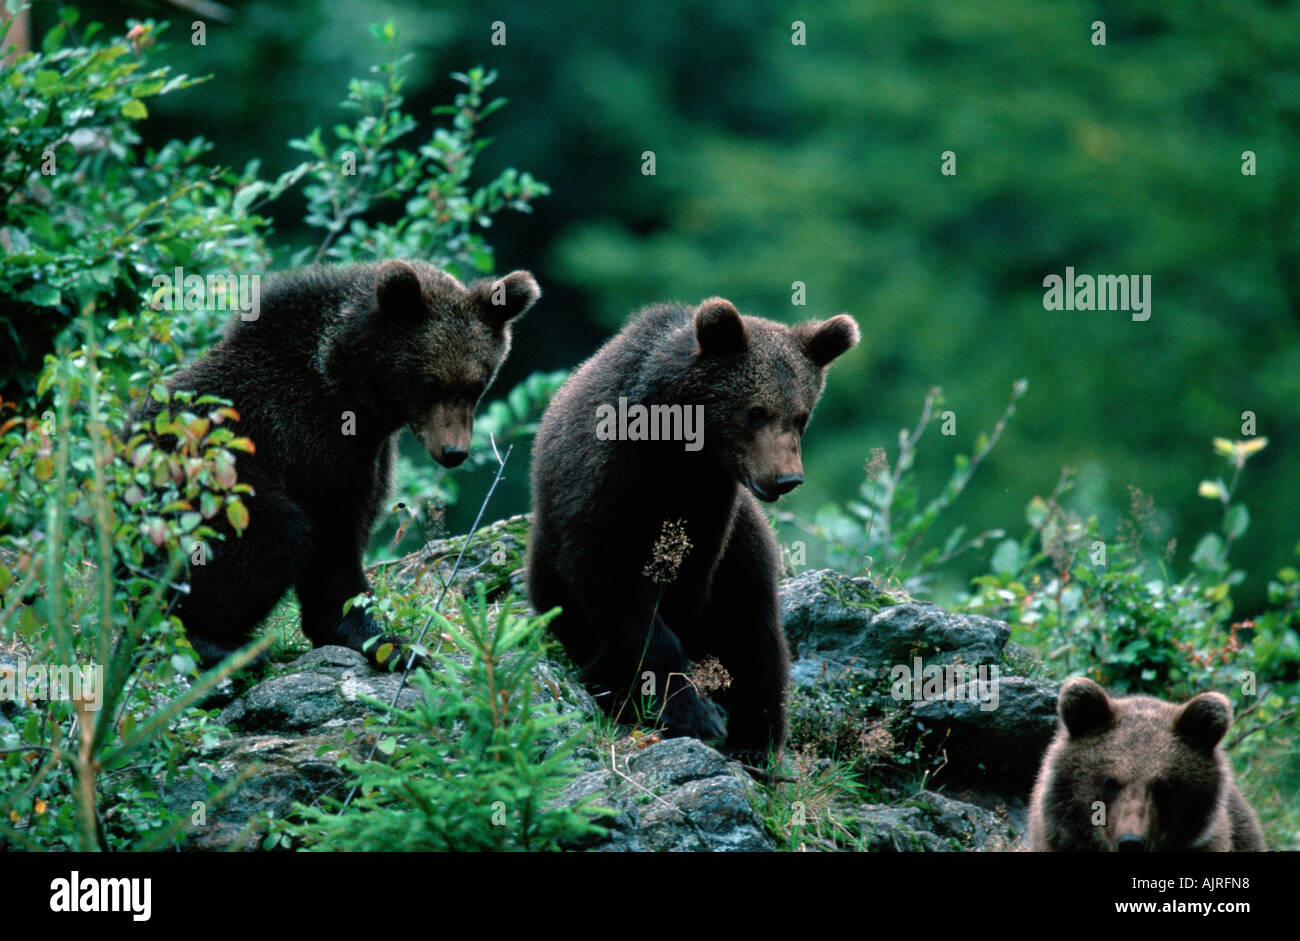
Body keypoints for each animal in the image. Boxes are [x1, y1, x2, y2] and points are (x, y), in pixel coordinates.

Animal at [134, 259, 540, 669]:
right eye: (430, 383)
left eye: (477, 383)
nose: (453, 451)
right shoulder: (309, 441)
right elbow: (333, 536)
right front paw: (384, 638)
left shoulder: (370, 453)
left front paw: (375, 639)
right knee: (272, 533)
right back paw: (212, 642)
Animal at [526, 296, 859, 760]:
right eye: (756, 411)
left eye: (801, 416)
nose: (786, 478)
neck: (677, 445)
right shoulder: (605, 481)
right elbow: (614, 583)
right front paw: (681, 707)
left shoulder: (710, 509)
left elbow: (685, 589)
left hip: (748, 555)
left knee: (756, 641)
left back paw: (755, 738)